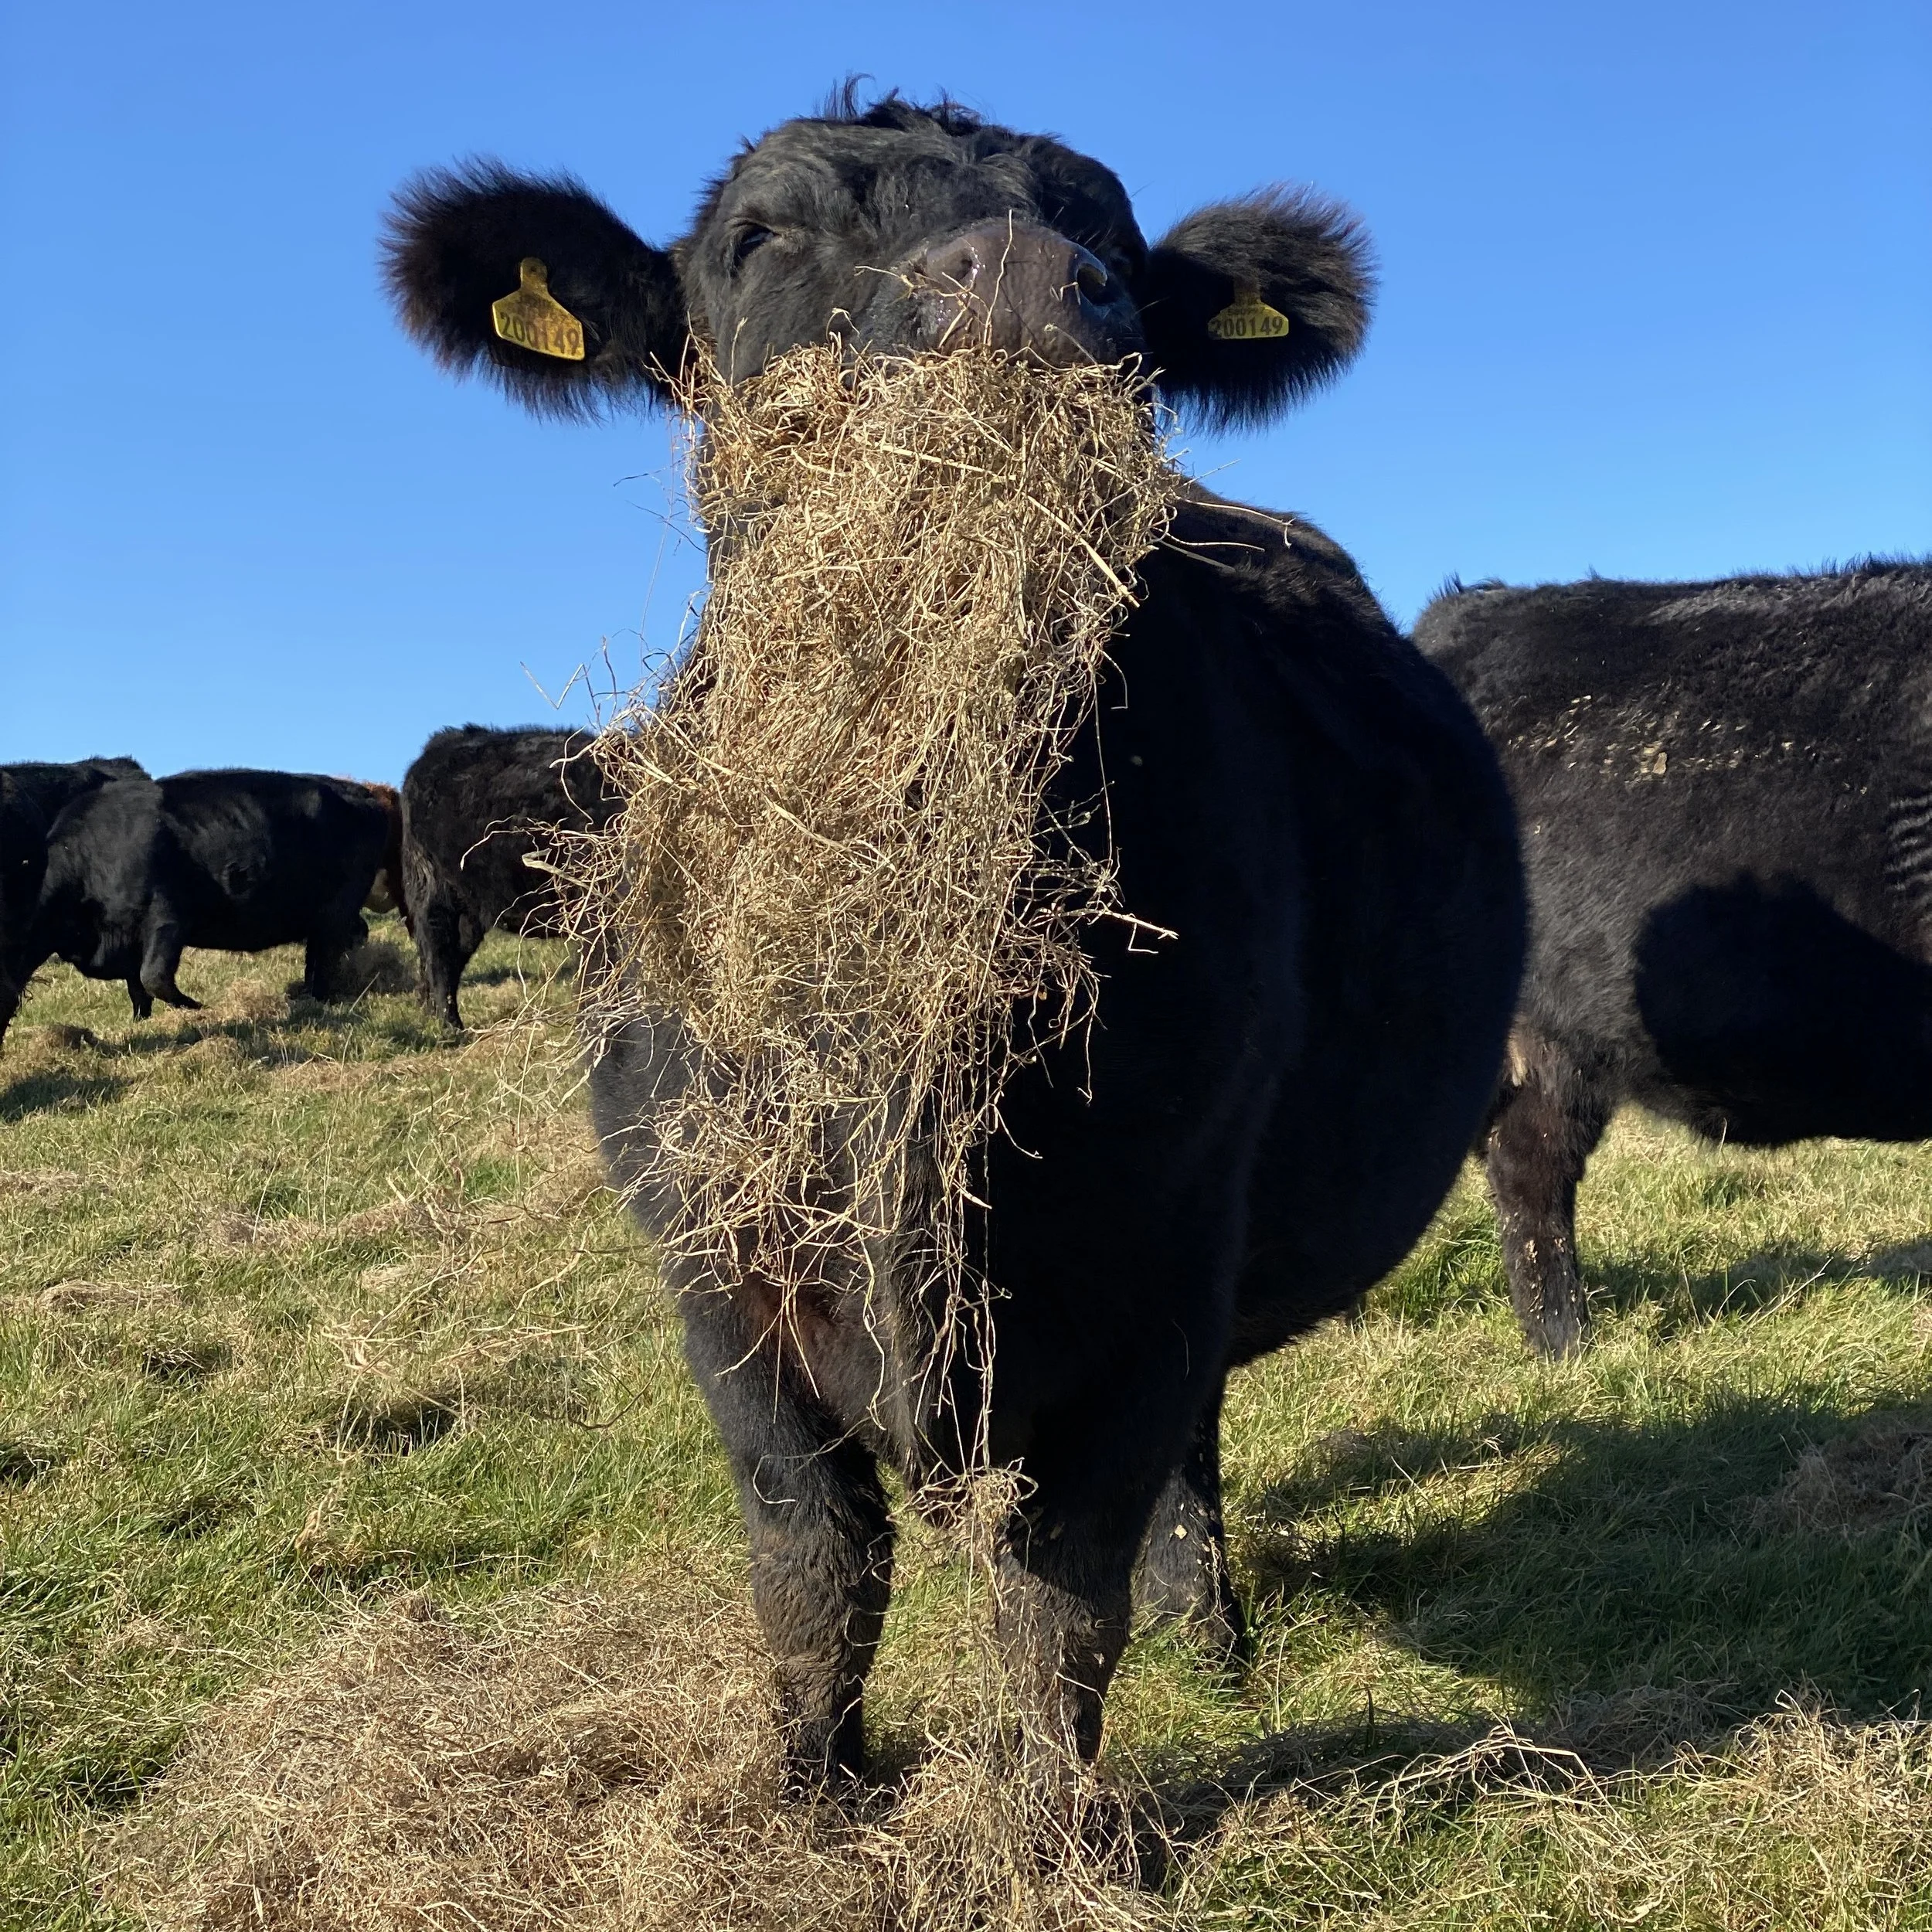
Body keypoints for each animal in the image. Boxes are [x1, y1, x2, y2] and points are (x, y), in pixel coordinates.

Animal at [2, 768, 393, 1040]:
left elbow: (154, 977)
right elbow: (137, 986)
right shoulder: (126, 940)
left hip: (338, 906)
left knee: (327, 952)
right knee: (334, 946)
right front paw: (141, 1023)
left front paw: (197, 1009)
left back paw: (319, 1001)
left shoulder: (167, 917)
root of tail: (362, 792)